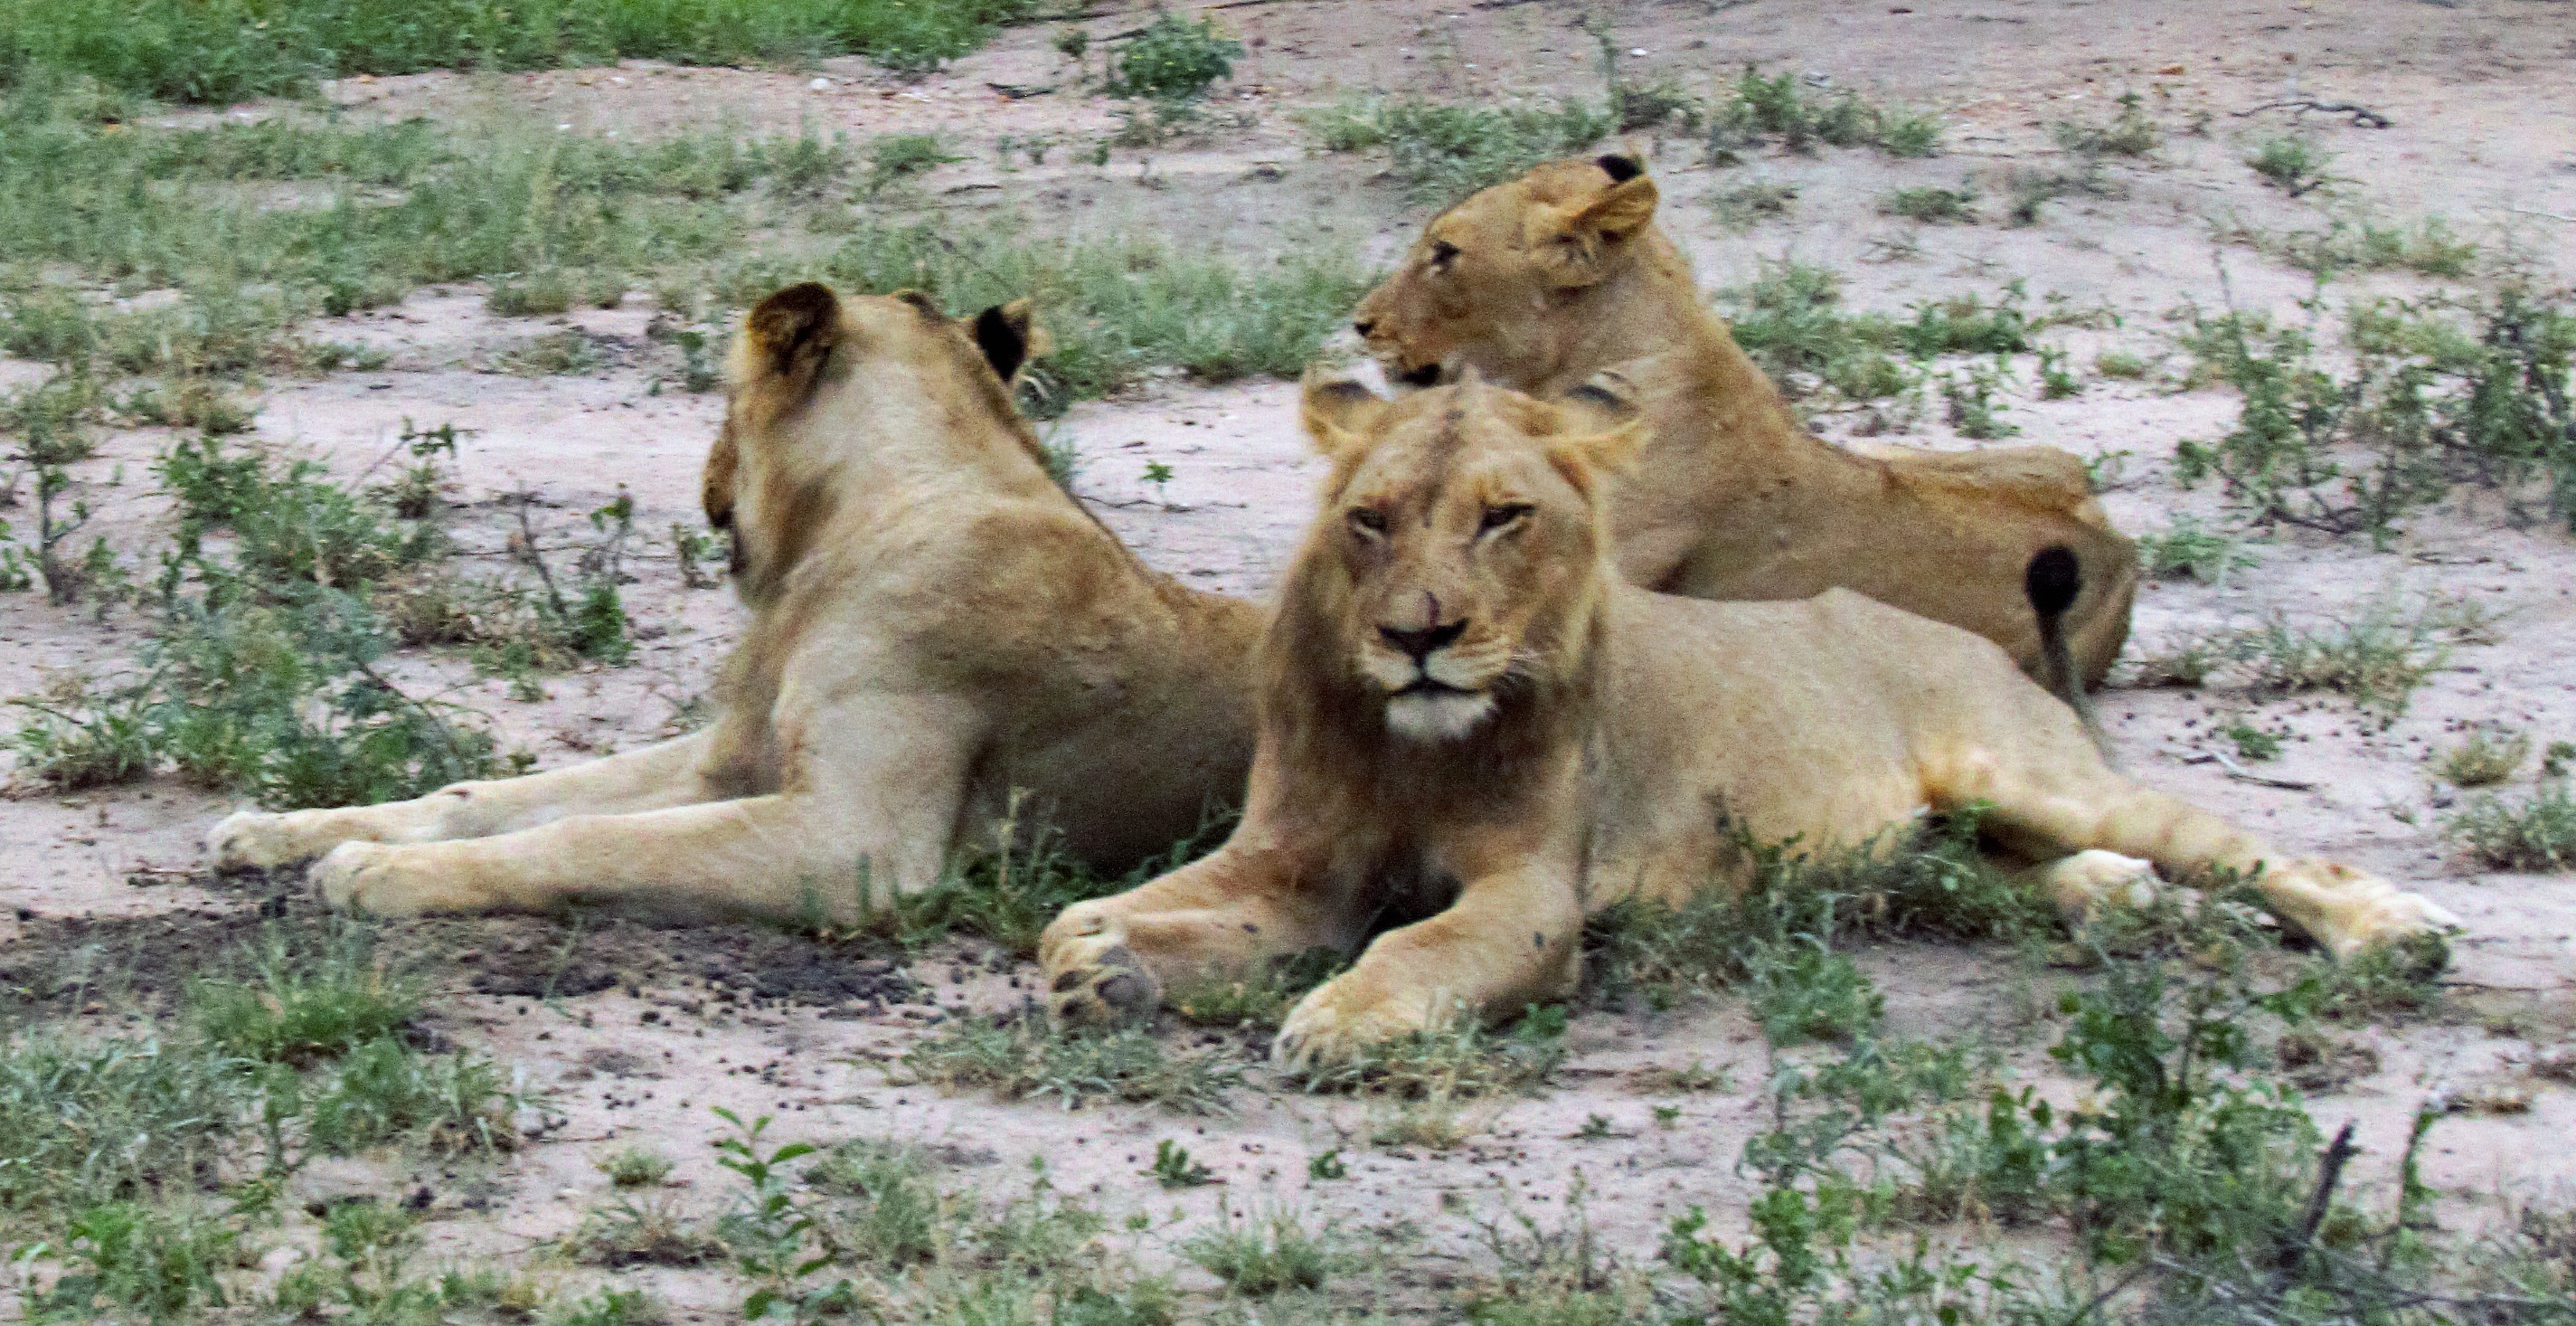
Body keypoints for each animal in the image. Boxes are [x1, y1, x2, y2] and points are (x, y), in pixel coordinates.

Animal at [206, 283, 1266, 921]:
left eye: (722, 405)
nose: (704, 473)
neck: (852, 530)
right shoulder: (731, 759)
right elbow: (483, 796)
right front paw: (280, 830)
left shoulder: (859, 842)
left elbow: (587, 836)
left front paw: (377, 871)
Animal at [1037, 371, 2454, 1068]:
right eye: (1370, 519)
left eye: (1504, 516)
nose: (1418, 636)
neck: (1409, 743)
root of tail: (1976, 644)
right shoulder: (1297, 855)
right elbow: (1104, 913)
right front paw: (1103, 965)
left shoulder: (1533, 894)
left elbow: (1417, 945)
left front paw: (1342, 1018)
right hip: (1931, 849)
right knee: (2040, 873)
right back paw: (2126, 902)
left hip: (2021, 768)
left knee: (2247, 850)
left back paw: (2395, 932)